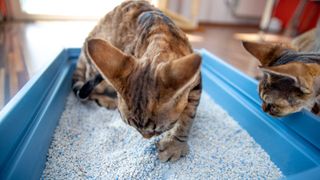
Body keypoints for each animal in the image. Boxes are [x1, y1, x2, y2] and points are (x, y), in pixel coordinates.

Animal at [73, 0, 202, 162]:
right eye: (132, 127)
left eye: (158, 130)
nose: (145, 137)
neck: (161, 36)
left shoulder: (196, 82)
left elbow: (188, 116)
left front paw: (175, 144)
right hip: (97, 76)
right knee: (90, 91)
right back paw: (107, 100)